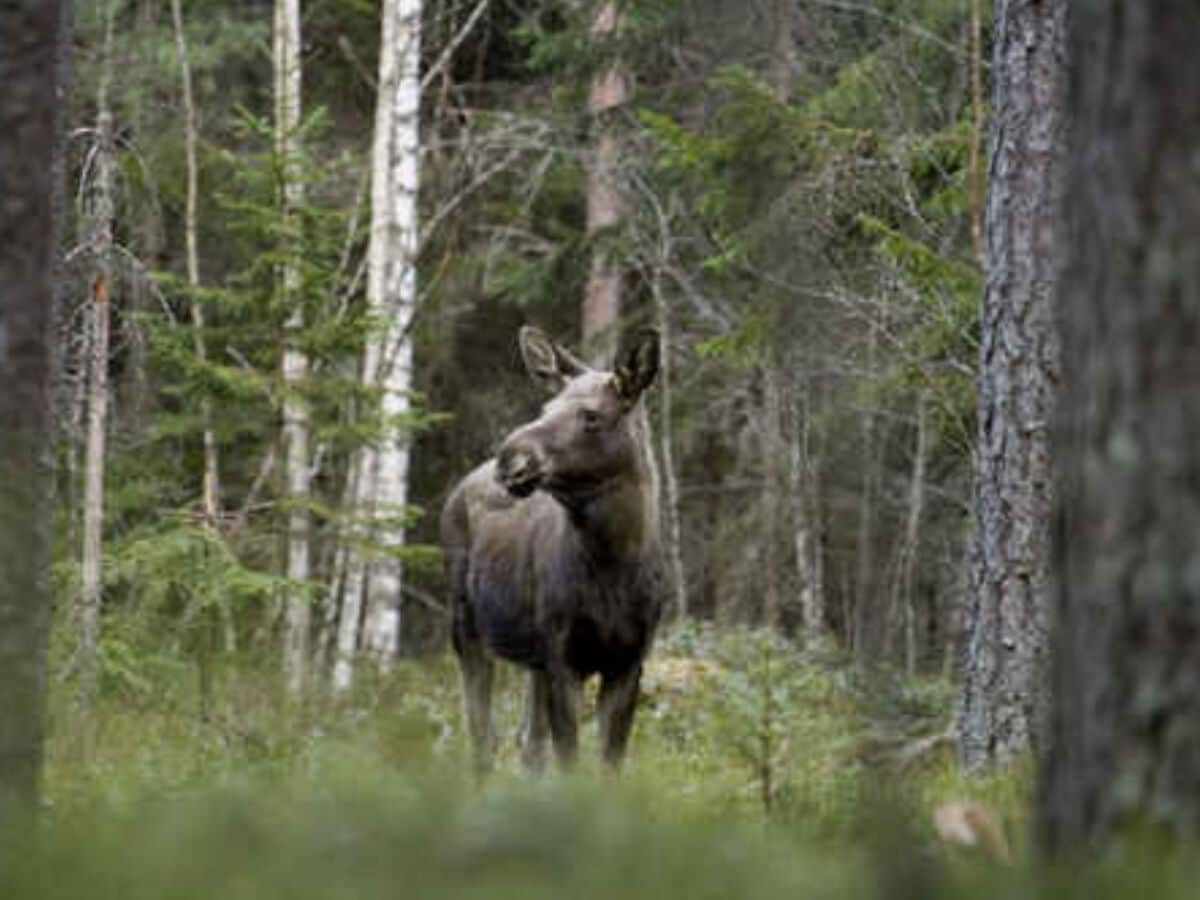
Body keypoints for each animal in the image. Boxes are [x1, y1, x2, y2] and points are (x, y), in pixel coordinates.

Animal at [441, 328, 667, 777]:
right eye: (546, 406)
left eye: (591, 415)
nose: (510, 457)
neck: (614, 567)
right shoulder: (563, 657)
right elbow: (569, 765)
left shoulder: (629, 660)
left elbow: (608, 767)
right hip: (466, 626)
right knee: (482, 739)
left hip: (532, 660)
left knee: (527, 744)